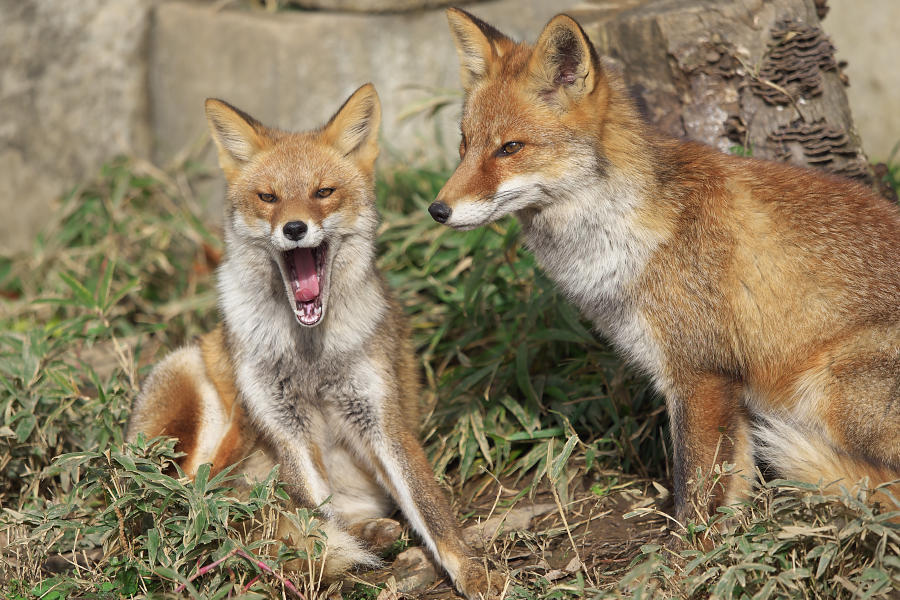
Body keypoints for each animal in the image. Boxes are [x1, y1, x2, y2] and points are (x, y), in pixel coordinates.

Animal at [125, 85, 496, 600]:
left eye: (323, 192)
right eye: (268, 197)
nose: (295, 228)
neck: (310, 357)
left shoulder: (380, 417)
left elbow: (430, 508)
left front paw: (473, 573)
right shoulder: (283, 424)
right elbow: (313, 516)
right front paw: (319, 565)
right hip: (186, 385)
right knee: (192, 498)